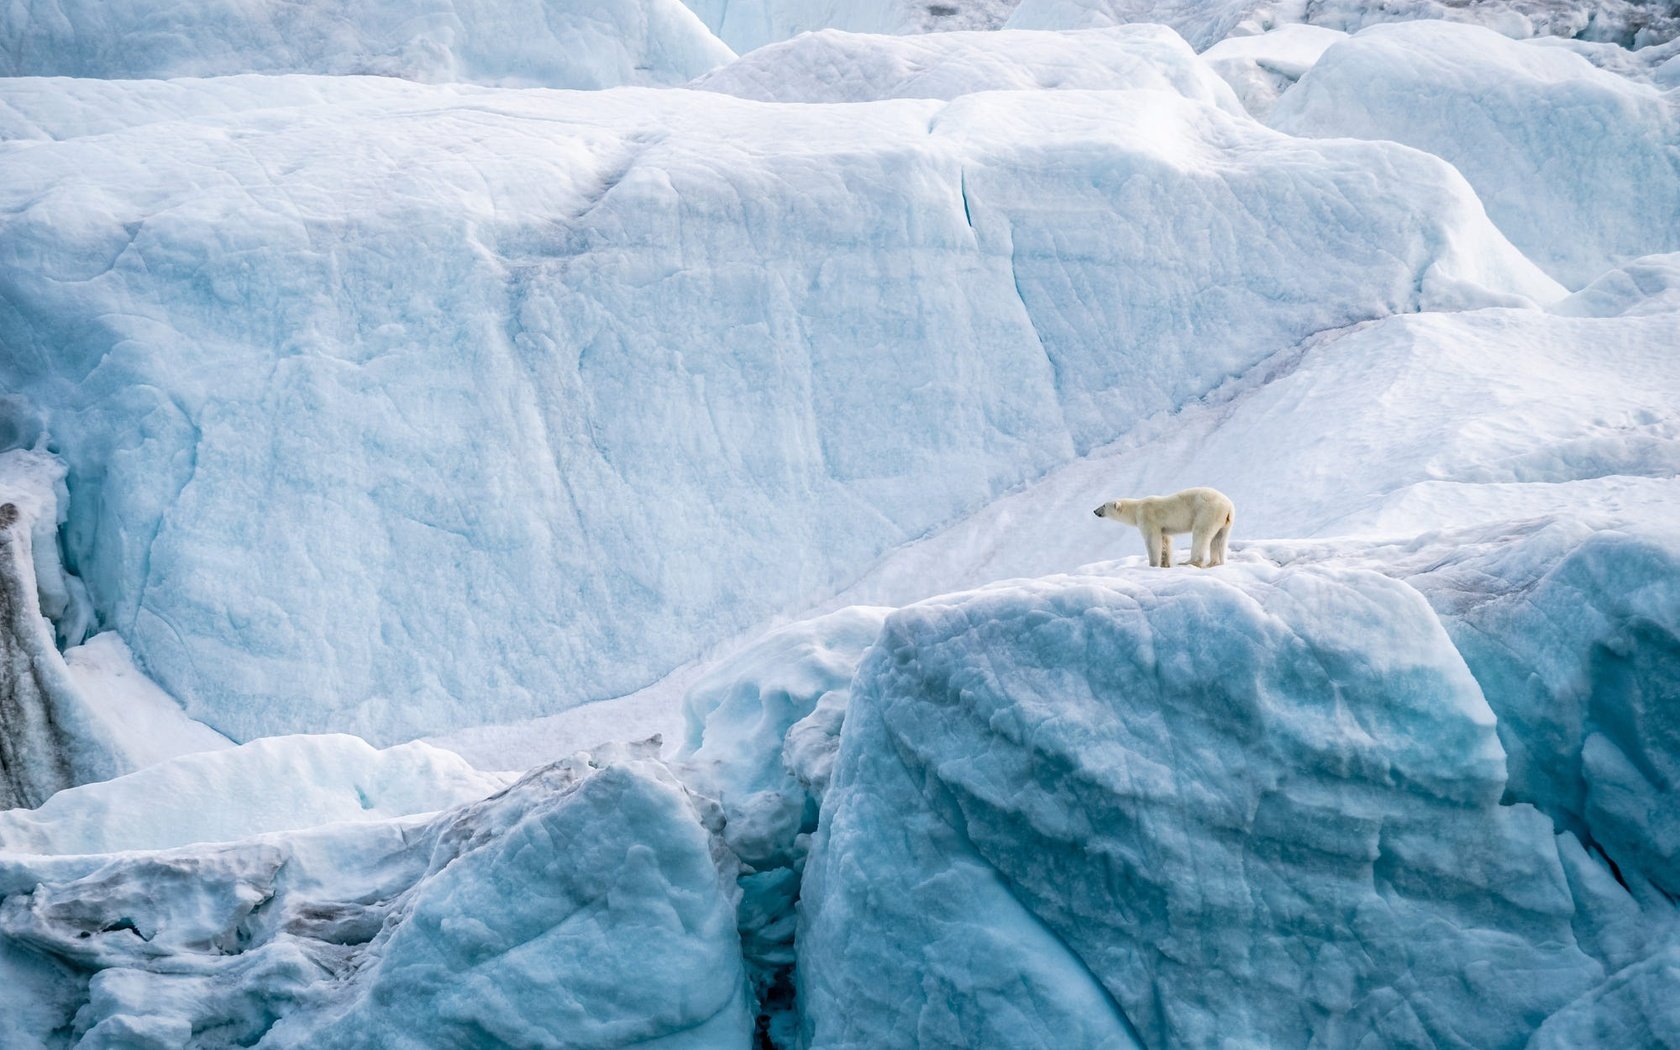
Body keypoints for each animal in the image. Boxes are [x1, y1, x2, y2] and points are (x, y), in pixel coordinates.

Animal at [1088, 487, 1236, 567]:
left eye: (1104, 505)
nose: (1095, 511)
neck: (1136, 509)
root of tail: (1228, 506)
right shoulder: (1163, 527)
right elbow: (1165, 541)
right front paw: (1165, 564)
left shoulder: (1147, 518)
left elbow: (1152, 540)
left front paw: (1153, 564)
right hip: (1225, 520)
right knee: (1219, 539)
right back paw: (1215, 562)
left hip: (1207, 512)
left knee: (1201, 534)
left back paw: (1188, 562)